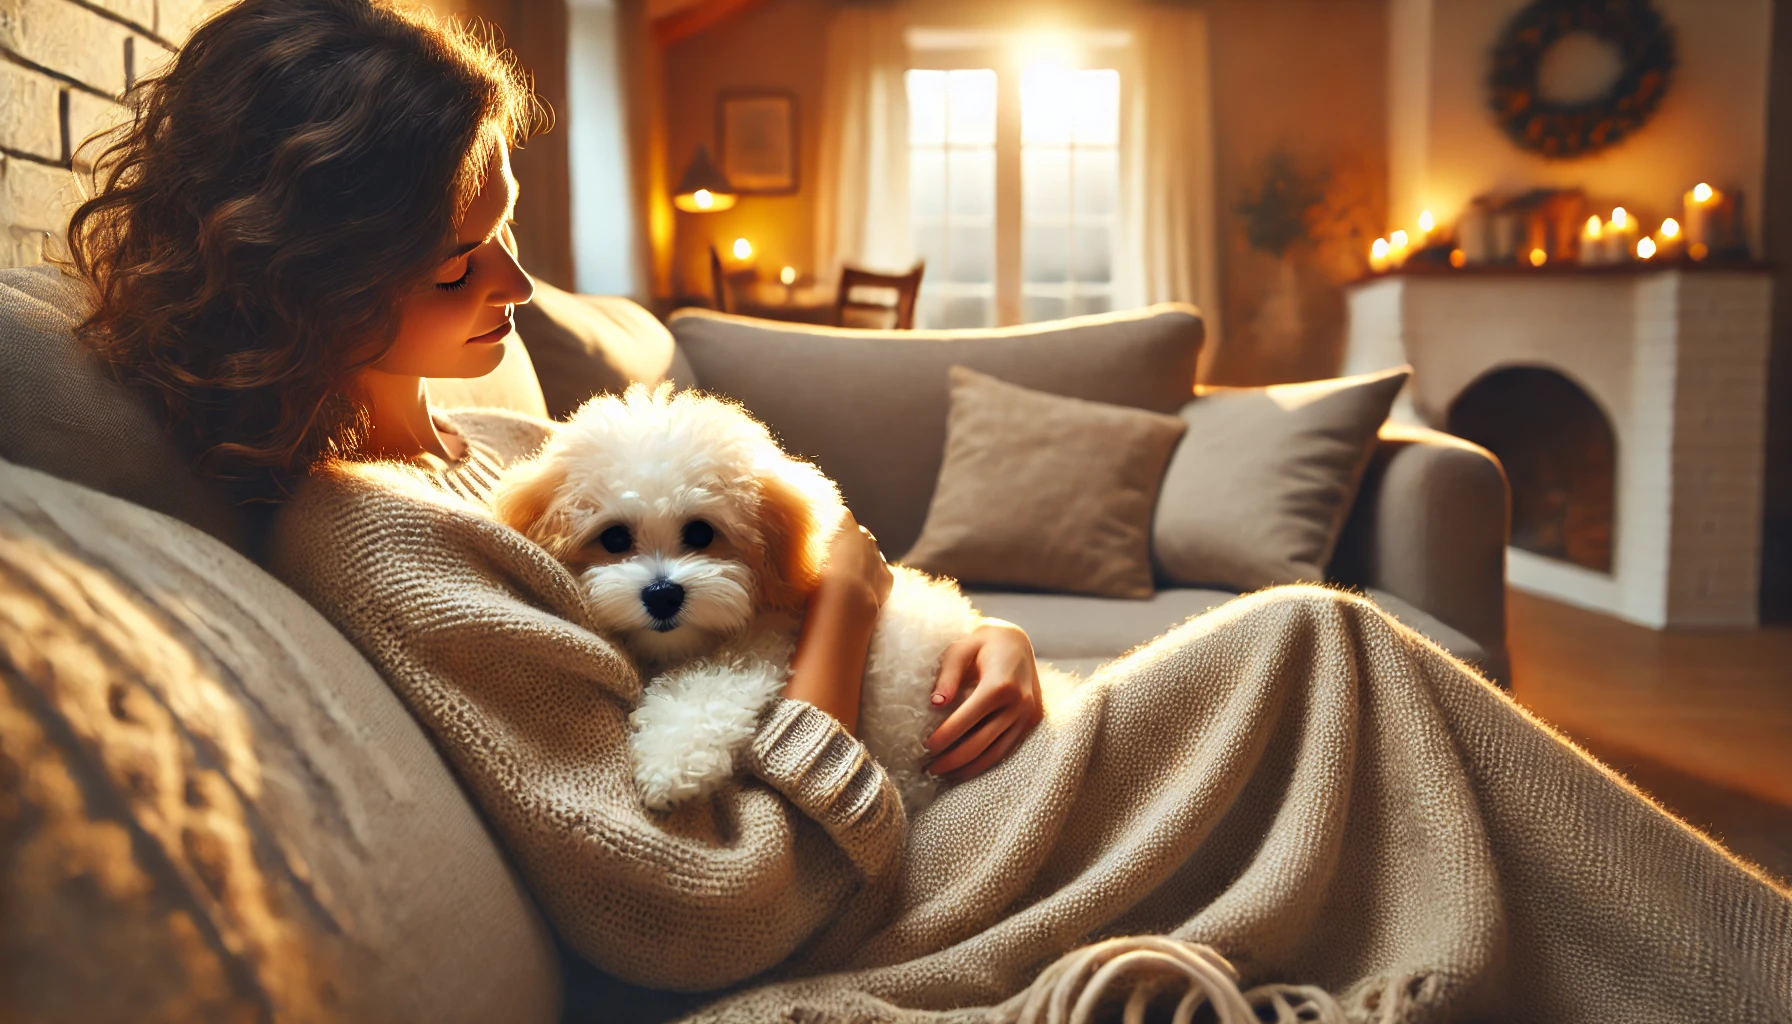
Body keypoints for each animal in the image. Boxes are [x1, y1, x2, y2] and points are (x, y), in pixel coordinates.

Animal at [494, 383, 982, 817]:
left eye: (700, 533)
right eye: (614, 538)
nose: (662, 595)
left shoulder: (762, 645)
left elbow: (706, 690)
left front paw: (671, 766)